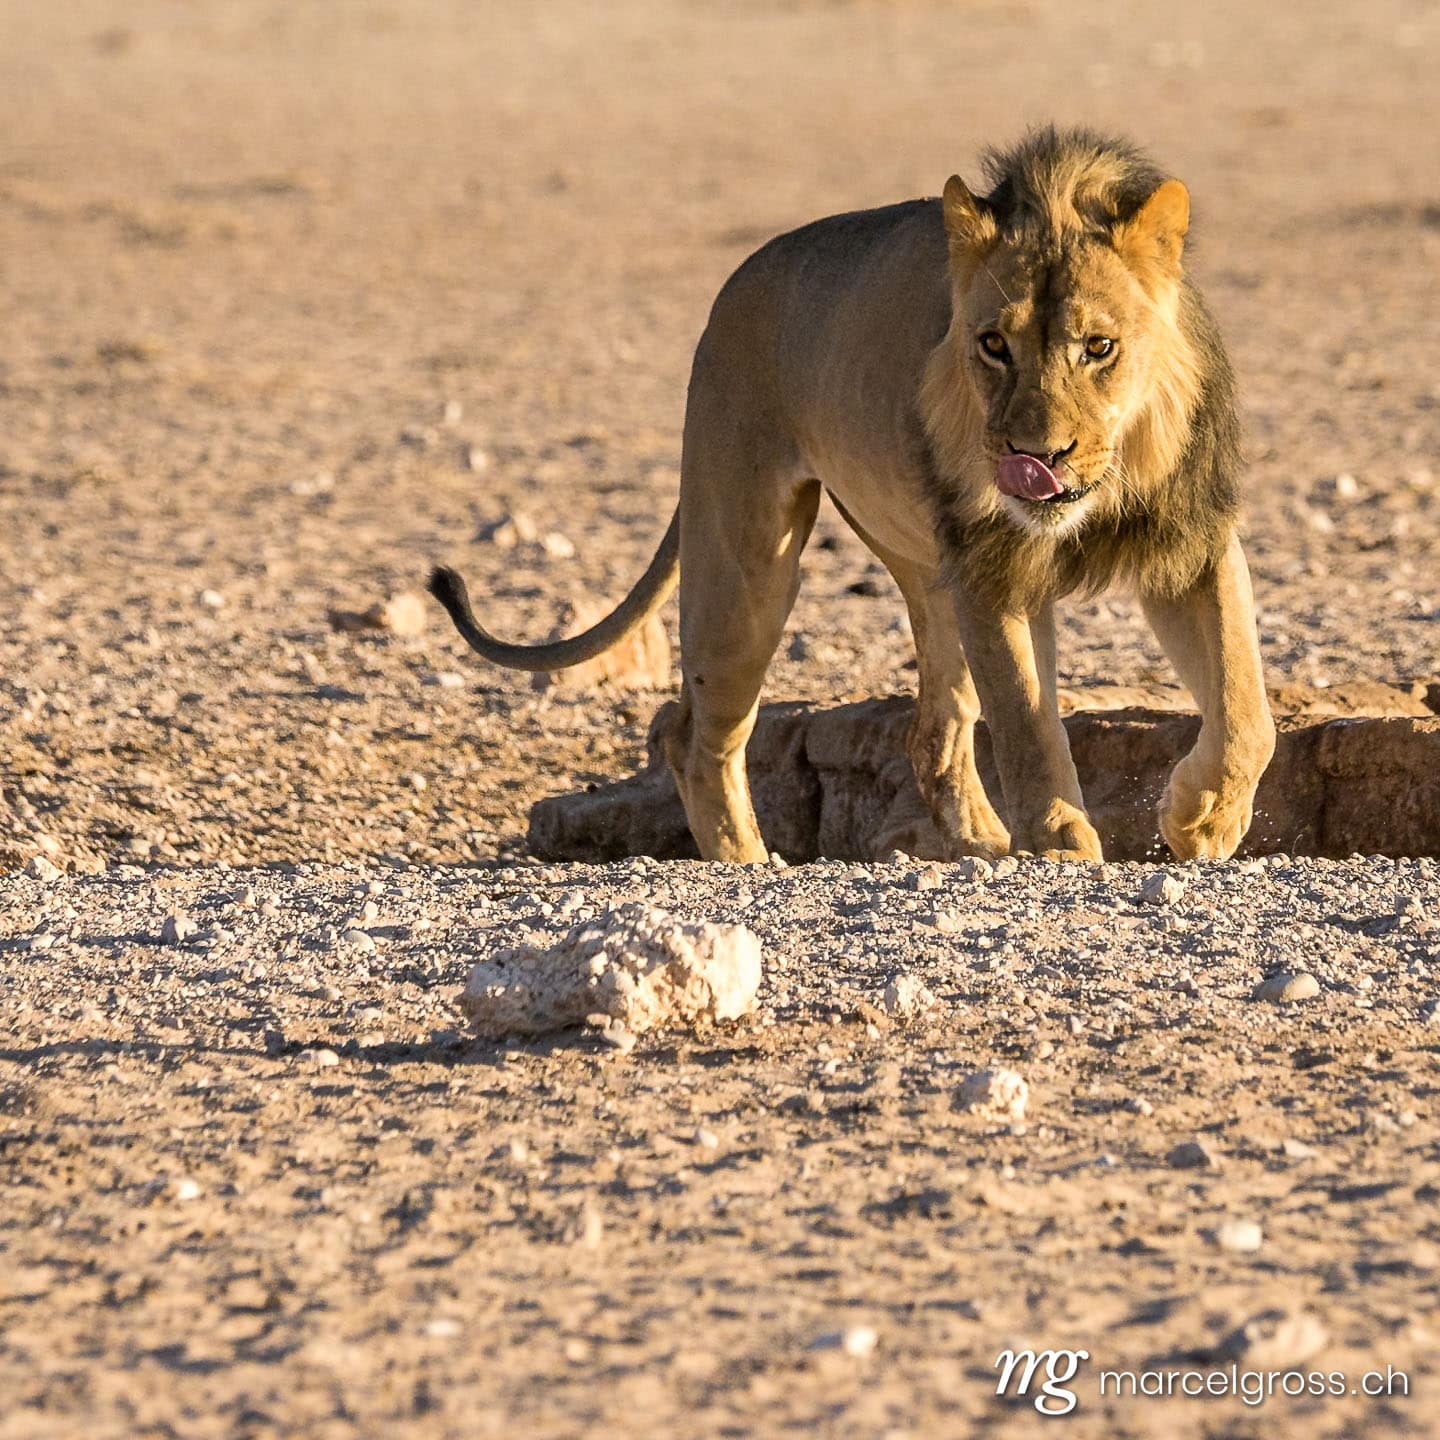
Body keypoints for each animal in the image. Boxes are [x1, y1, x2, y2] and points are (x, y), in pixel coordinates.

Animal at [431, 126, 1276, 865]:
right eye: (992, 346)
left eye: (1099, 347)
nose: (1034, 458)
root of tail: (736, 284)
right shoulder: (993, 565)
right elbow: (1028, 726)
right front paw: (1065, 844)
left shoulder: (1190, 541)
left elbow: (1245, 707)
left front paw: (1202, 819)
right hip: (751, 564)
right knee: (694, 732)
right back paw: (748, 861)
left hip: (928, 575)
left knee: (931, 731)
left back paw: (978, 842)